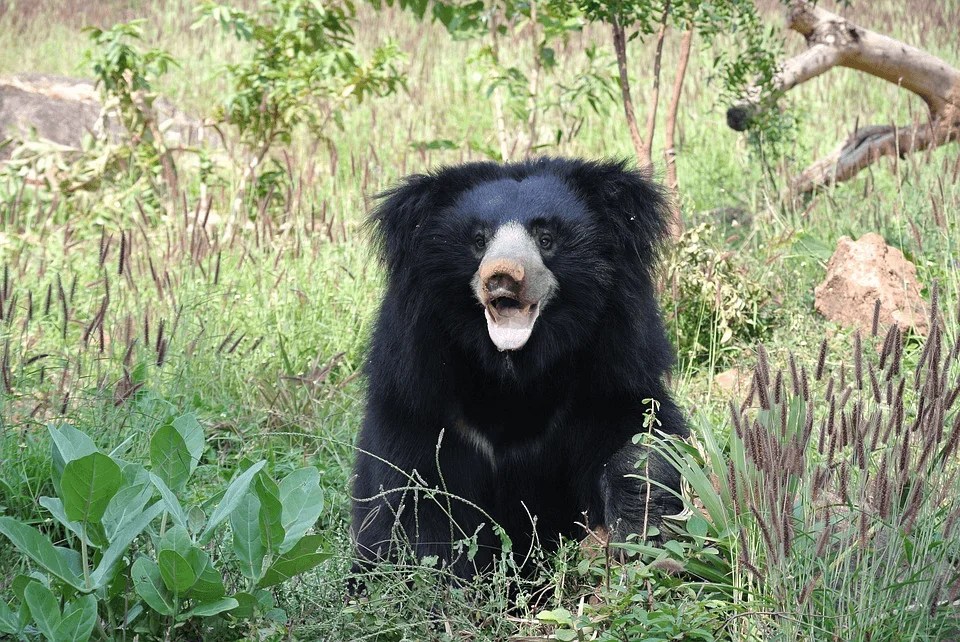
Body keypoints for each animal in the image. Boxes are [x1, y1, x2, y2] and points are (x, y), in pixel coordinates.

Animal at [351, 157, 687, 580]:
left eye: (546, 238)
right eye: (479, 240)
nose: (502, 276)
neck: (513, 370)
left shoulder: (611, 367)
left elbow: (639, 433)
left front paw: (638, 522)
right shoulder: (416, 390)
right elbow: (413, 494)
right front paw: (434, 576)